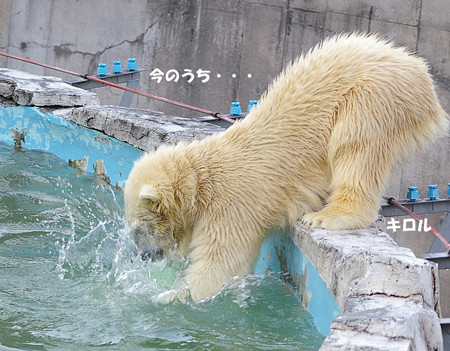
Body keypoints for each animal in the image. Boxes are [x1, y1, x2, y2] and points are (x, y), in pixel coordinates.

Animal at [123, 33, 446, 302]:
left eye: (141, 228)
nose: (143, 258)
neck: (202, 177)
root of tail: (416, 66)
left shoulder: (233, 203)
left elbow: (223, 261)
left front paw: (170, 296)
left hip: (376, 92)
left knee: (356, 143)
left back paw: (329, 216)